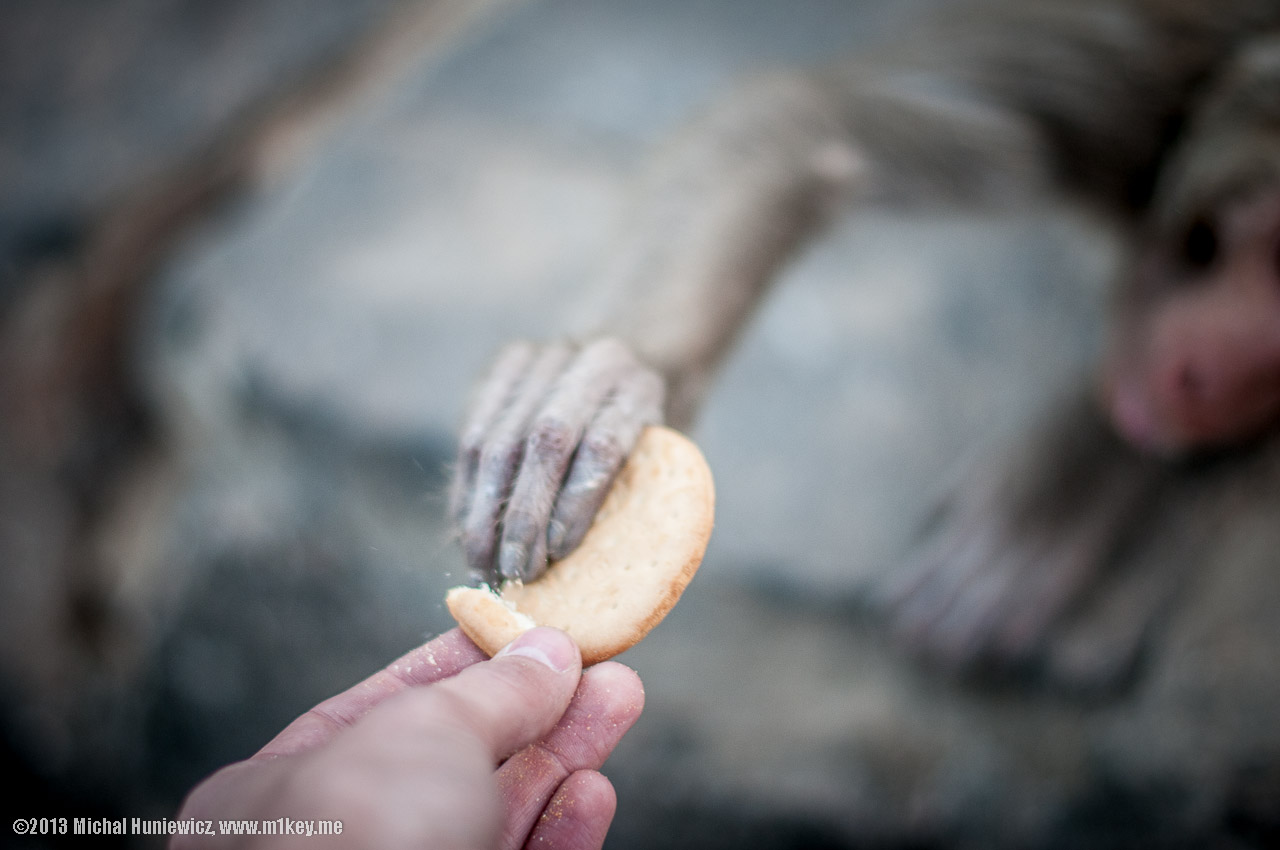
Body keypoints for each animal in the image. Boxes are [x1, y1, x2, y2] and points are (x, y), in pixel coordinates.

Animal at [449, 0, 1280, 687]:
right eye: (1207, 246)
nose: (1196, 371)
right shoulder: (1154, 64)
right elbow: (821, 126)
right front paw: (607, 371)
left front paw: (1075, 484)